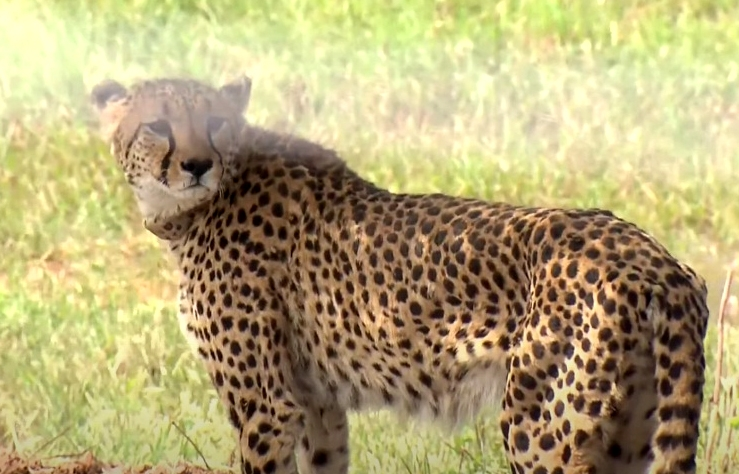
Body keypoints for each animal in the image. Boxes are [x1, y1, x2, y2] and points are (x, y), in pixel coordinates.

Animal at [92, 75, 712, 474]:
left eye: (216, 121)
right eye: (157, 125)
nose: (197, 164)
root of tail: (655, 259)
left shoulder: (266, 406)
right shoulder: (316, 401)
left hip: (539, 430)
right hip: (628, 432)